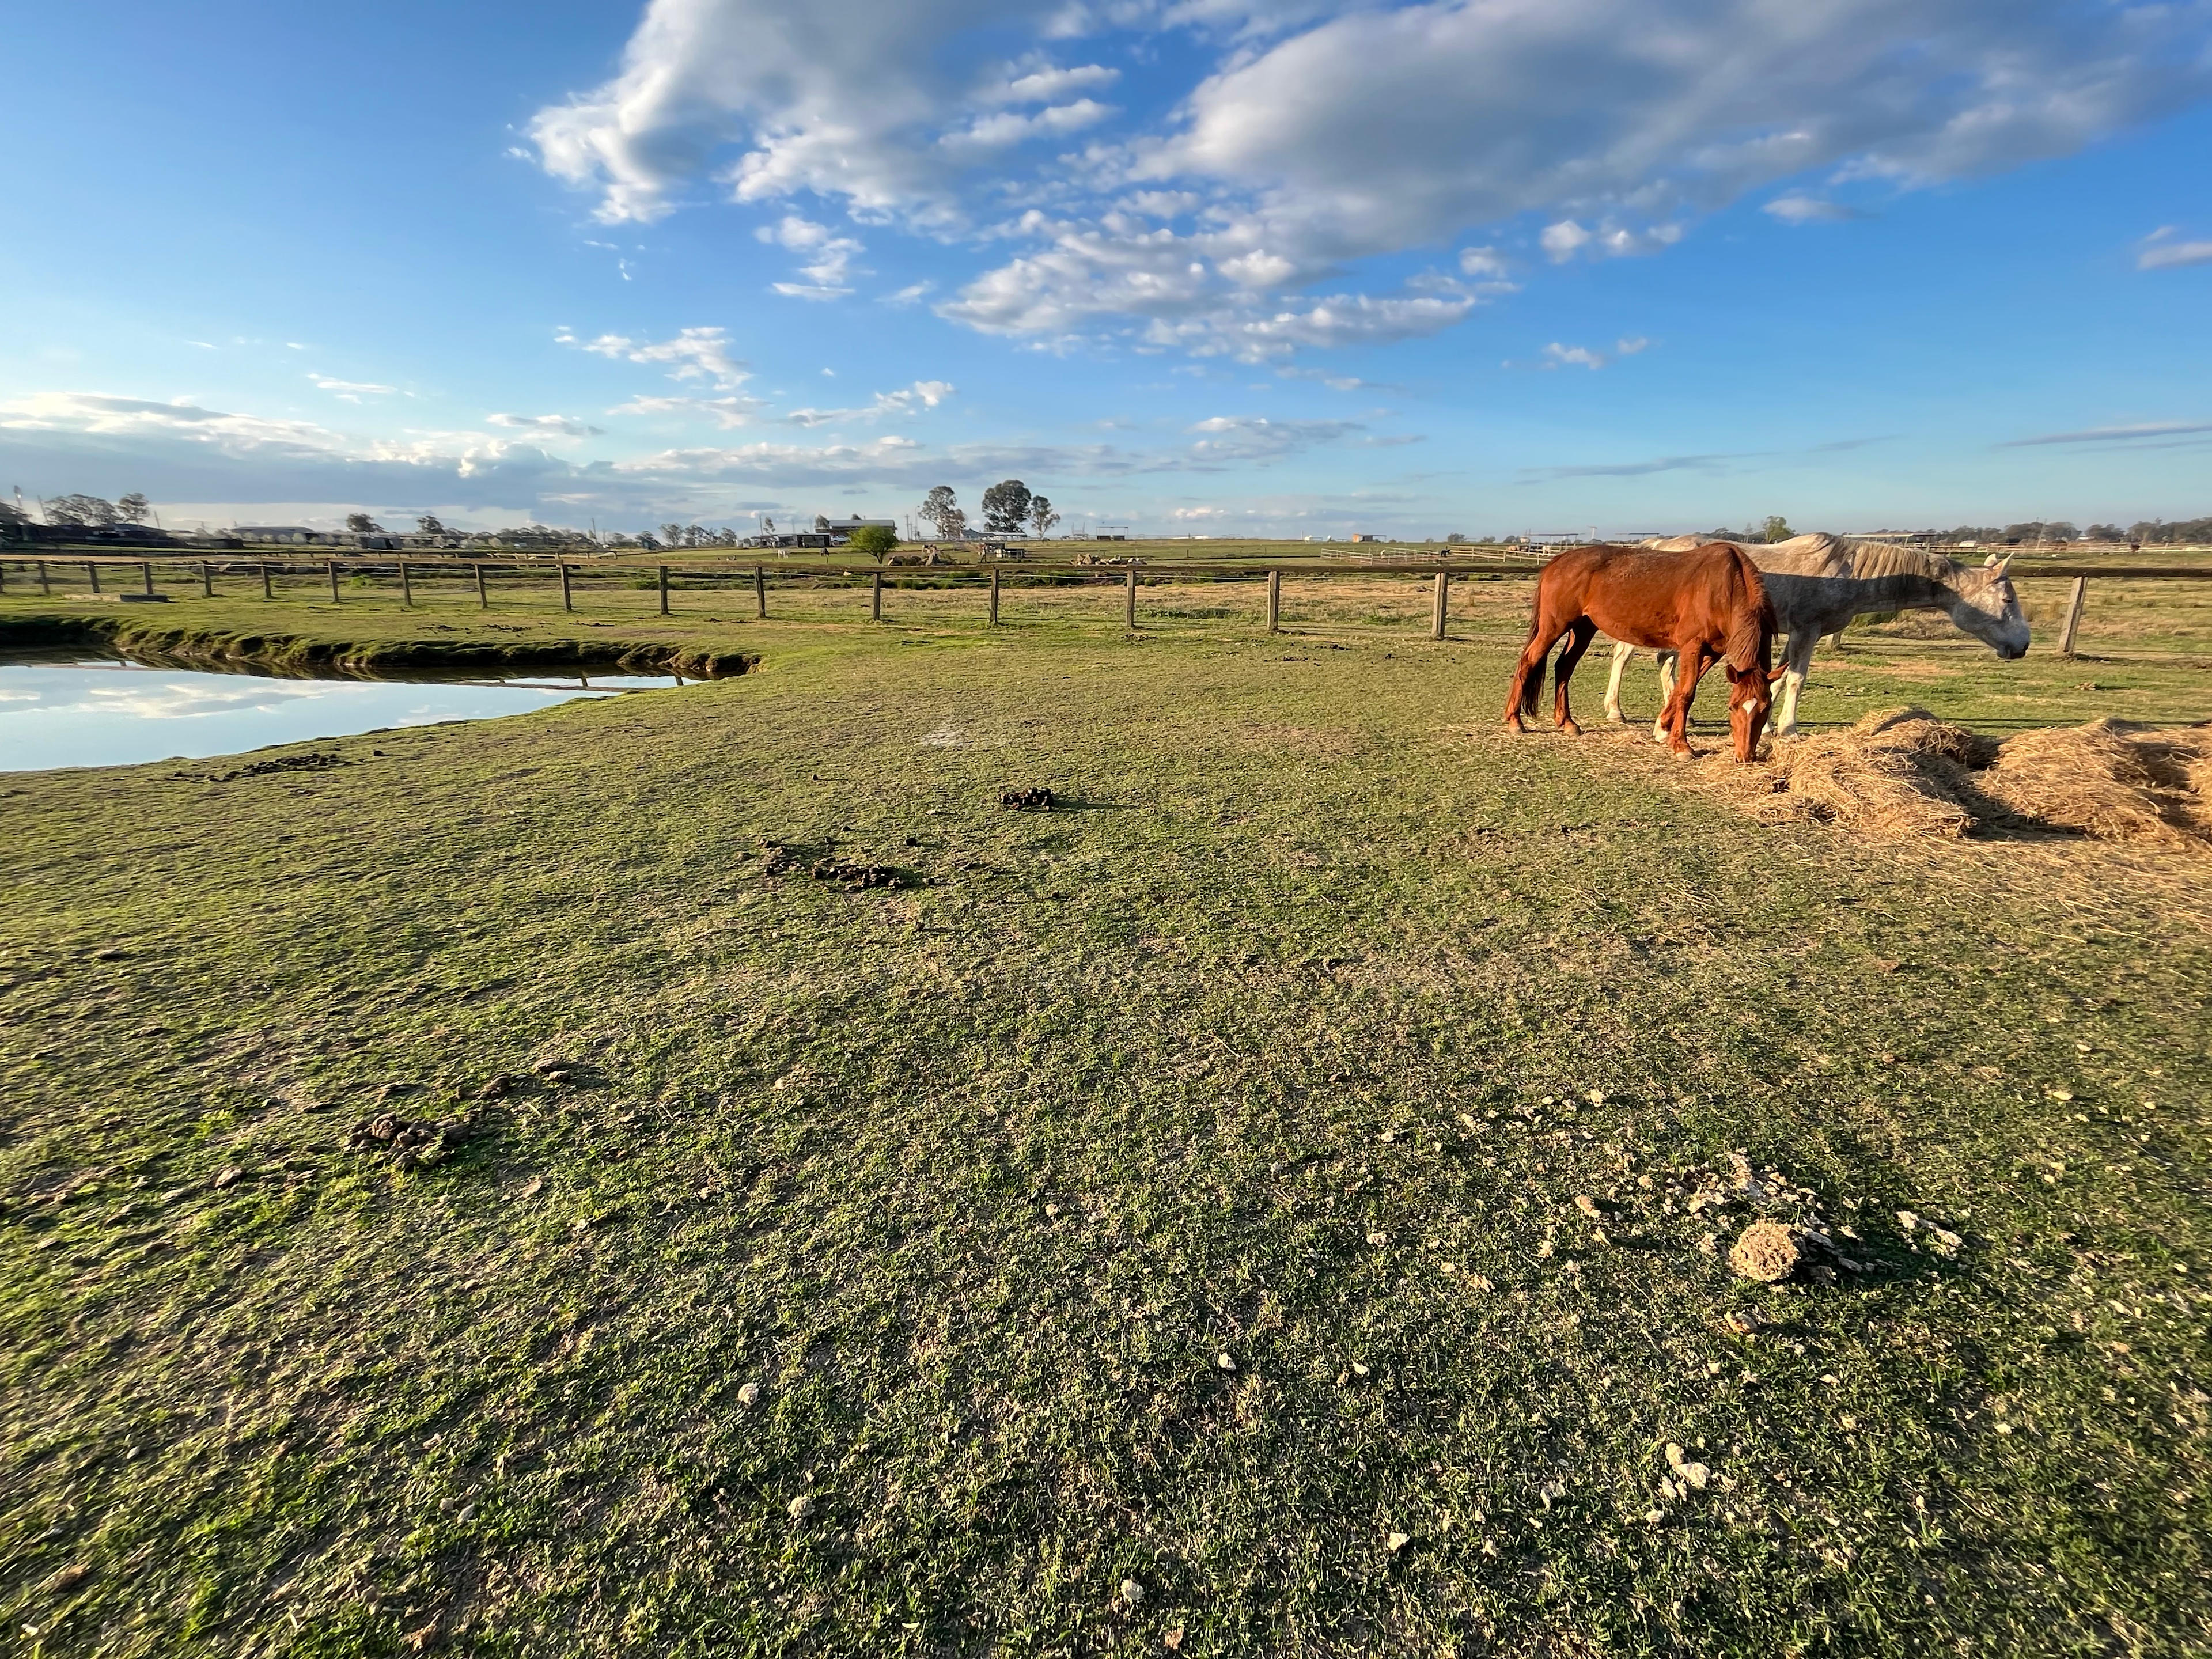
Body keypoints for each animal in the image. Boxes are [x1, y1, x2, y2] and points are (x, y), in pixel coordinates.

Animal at [1504, 543, 1780, 761]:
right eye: (1733, 707)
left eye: (1766, 708)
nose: (1745, 756)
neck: (1724, 585)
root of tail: (1559, 560)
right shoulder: (1693, 646)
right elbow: (1686, 694)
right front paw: (1682, 746)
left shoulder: (1714, 653)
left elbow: (1680, 690)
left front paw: (1663, 728)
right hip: (1554, 627)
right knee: (1529, 661)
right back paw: (1515, 721)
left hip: (1583, 629)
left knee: (1564, 667)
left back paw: (1567, 723)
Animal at [1602, 538, 2028, 739]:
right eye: (2008, 600)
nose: (2022, 646)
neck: (1852, 573)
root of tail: (1656, 546)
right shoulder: (1808, 630)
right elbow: (1796, 680)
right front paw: (1789, 729)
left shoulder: (1794, 632)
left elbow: (1775, 679)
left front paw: (1769, 726)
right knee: (1626, 658)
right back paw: (1617, 711)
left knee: (1662, 663)